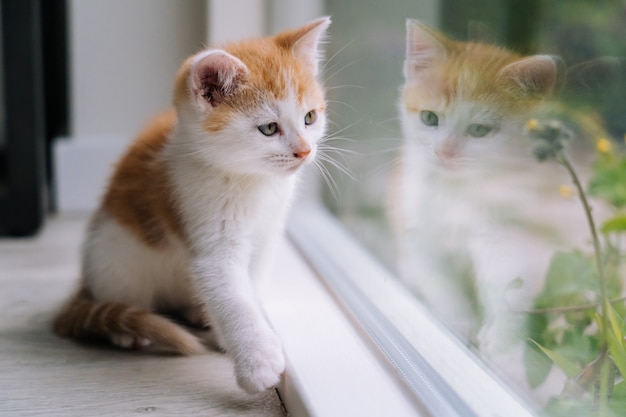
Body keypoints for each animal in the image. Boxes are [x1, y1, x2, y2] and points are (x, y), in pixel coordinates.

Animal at [53, 17, 330, 394]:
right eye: (269, 128)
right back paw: (124, 330)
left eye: (309, 118)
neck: (253, 182)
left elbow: (251, 282)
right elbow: (232, 294)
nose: (304, 151)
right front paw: (258, 360)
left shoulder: (268, 233)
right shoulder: (210, 235)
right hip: (113, 256)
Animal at [390, 20, 584, 352]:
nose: (445, 152)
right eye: (429, 117)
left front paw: (503, 344)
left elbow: (510, 288)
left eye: (479, 130)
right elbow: (437, 278)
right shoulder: (417, 226)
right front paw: (454, 322)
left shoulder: (512, 236)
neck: (457, 190)